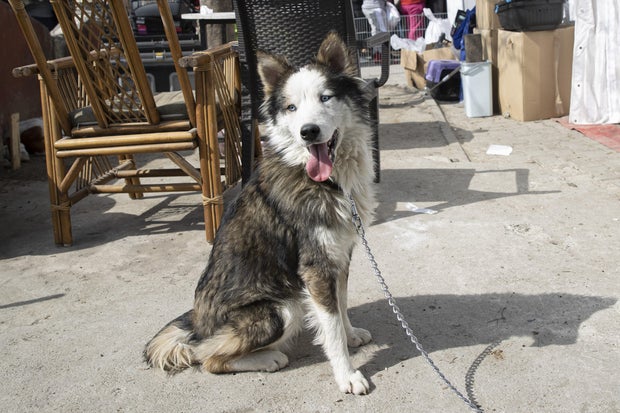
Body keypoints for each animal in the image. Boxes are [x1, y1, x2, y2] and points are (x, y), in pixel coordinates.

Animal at [145, 31, 378, 392]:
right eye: (291, 107)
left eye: (325, 98)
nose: (308, 131)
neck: (326, 180)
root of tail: (196, 323)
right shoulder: (315, 266)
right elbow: (331, 327)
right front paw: (347, 375)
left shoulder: (339, 255)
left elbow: (340, 306)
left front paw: (351, 335)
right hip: (284, 307)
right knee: (205, 356)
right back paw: (268, 359)